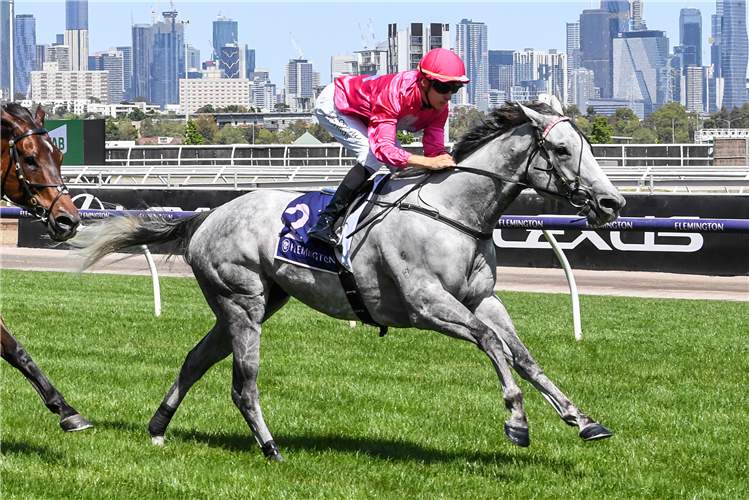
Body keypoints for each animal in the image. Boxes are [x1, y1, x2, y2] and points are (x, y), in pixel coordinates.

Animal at [74, 101, 624, 460]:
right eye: (560, 149)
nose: (613, 203)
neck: (454, 212)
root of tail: (208, 215)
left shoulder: (482, 299)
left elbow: (522, 355)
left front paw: (583, 420)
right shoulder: (427, 305)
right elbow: (492, 344)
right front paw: (517, 421)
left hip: (260, 300)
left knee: (195, 360)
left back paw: (158, 428)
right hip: (241, 302)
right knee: (242, 383)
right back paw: (270, 448)